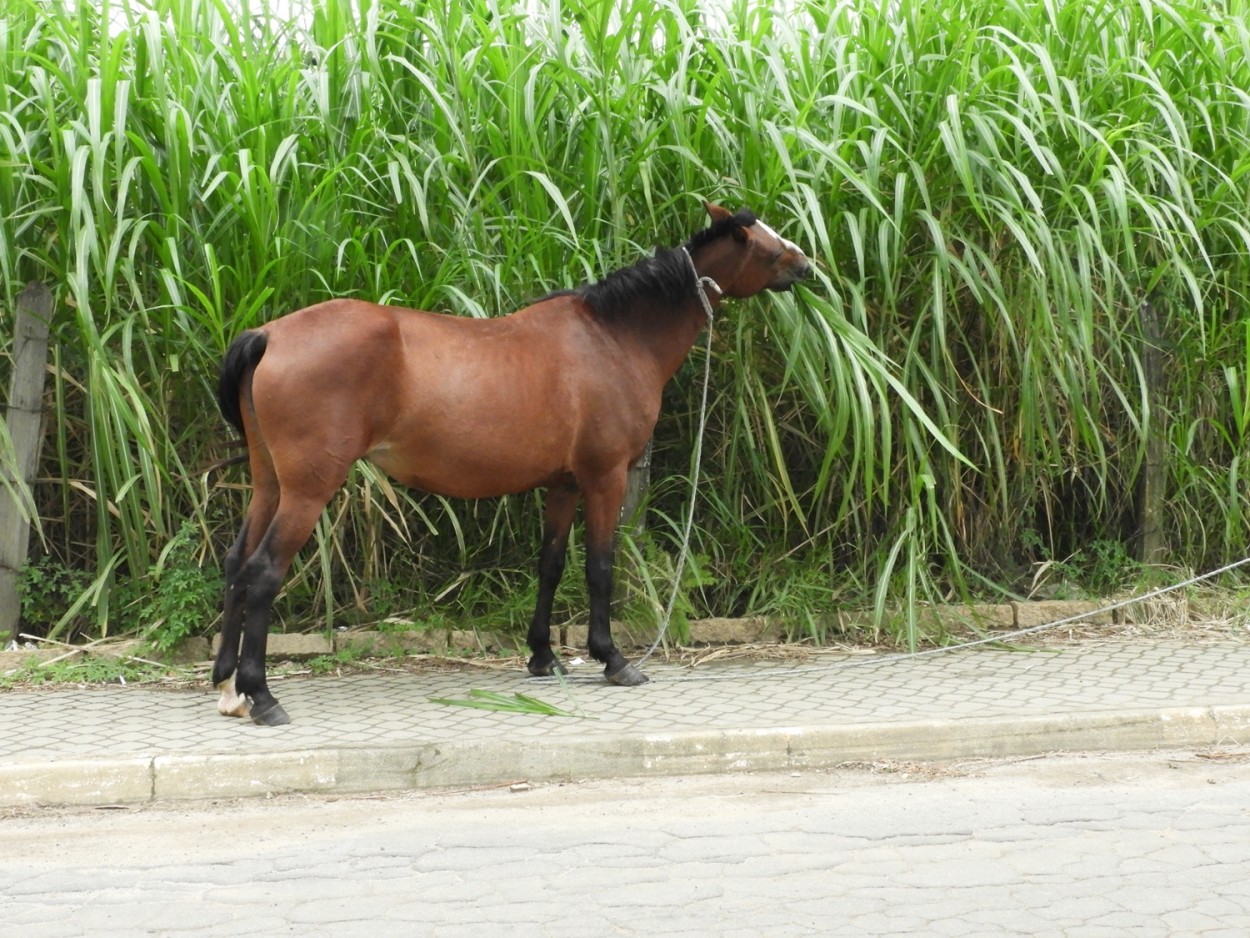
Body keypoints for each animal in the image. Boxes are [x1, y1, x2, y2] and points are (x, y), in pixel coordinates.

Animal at [213, 202, 810, 725]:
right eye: (760, 241)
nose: (806, 264)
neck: (613, 337)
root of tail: (270, 335)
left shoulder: (564, 484)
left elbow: (550, 565)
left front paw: (543, 656)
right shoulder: (605, 478)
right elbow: (599, 567)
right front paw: (613, 659)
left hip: (269, 484)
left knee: (237, 564)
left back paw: (226, 686)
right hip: (308, 490)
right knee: (263, 572)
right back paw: (261, 696)